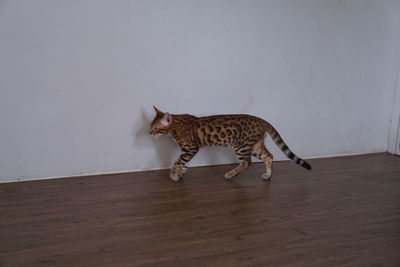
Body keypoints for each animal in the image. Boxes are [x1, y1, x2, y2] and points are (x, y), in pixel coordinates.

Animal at [150, 107, 312, 182]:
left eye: (156, 128)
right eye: (151, 126)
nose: (150, 133)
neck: (177, 125)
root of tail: (260, 120)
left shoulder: (190, 148)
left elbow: (177, 162)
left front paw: (174, 175)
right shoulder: (188, 151)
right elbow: (183, 163)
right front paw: (181, 173)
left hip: (241, 146)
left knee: (247, 162)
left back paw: (230, 174)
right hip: (255, 146)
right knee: (269, 156)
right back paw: (267, 175)